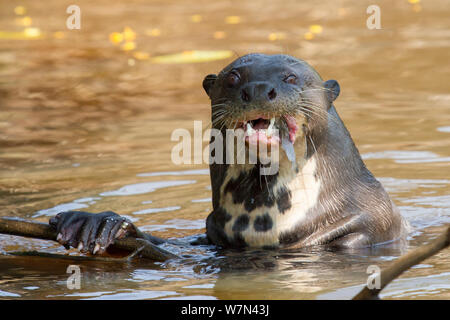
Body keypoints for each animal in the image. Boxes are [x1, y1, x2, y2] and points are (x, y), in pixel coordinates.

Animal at [48, 53, 408, 255]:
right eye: (234, 77)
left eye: (291, 77)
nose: (259, 88)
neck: (264, 223)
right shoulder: (212, 236)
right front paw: (95, 222)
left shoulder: (367, 229)